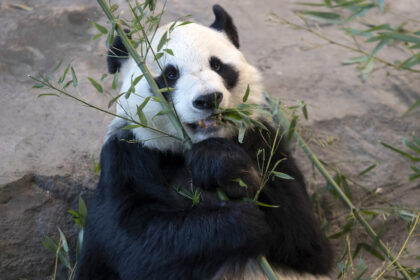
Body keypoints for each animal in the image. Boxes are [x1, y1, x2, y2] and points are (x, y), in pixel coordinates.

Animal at [74, 4, 334, 280]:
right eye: (170, 74)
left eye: (218, 65)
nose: (208, 99)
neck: (191, 147)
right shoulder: (128, 155)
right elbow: (134, 241)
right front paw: (240, 222)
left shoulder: (262, 141)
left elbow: (307, 240)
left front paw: (222, 165)